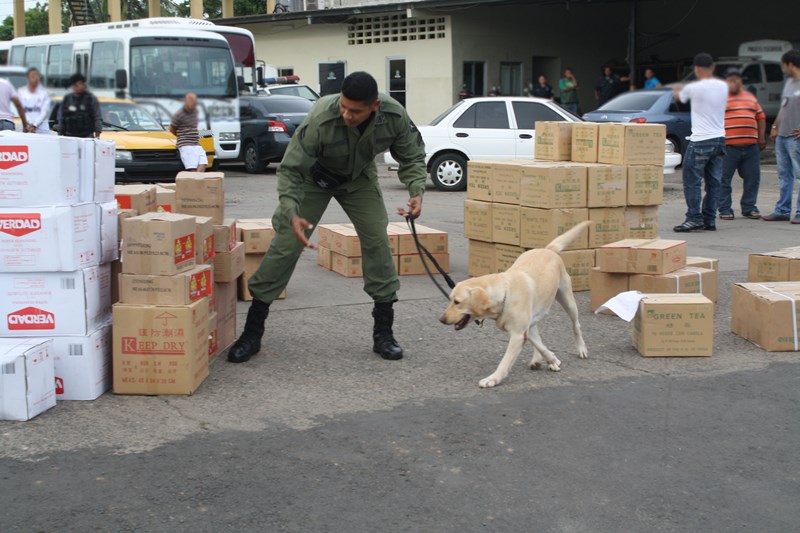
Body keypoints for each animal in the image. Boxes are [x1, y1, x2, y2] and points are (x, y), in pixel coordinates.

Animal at [439, 221, 590, 388]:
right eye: (450, 299)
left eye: (457, 302)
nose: (441, 319)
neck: (505, 292)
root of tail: (548, 249)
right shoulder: (523, 329)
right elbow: (540, 344)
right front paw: (552, 359)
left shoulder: (518, 334)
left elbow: (505, 362)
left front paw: (492, 379)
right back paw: (537, 359)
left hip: (567, 299)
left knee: (576, 325)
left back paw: (581, 348)